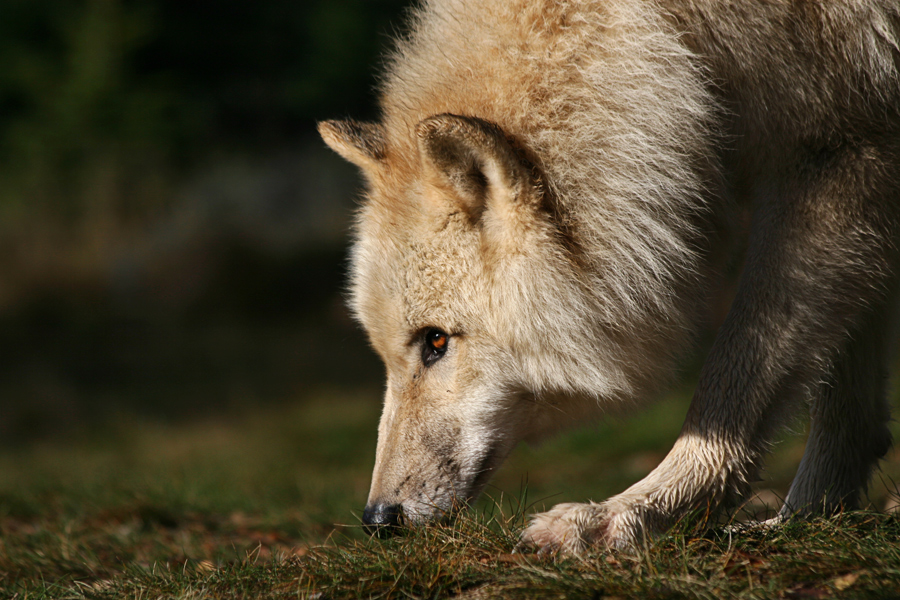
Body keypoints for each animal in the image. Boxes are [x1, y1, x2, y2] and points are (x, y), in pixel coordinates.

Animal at [318, 0, 900, 552]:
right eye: (389, 354)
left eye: (436, 341)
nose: (377, 519)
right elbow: (843, 396)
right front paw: (809, 516)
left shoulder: (834, 154)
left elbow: (732, 383)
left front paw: (620, 516)